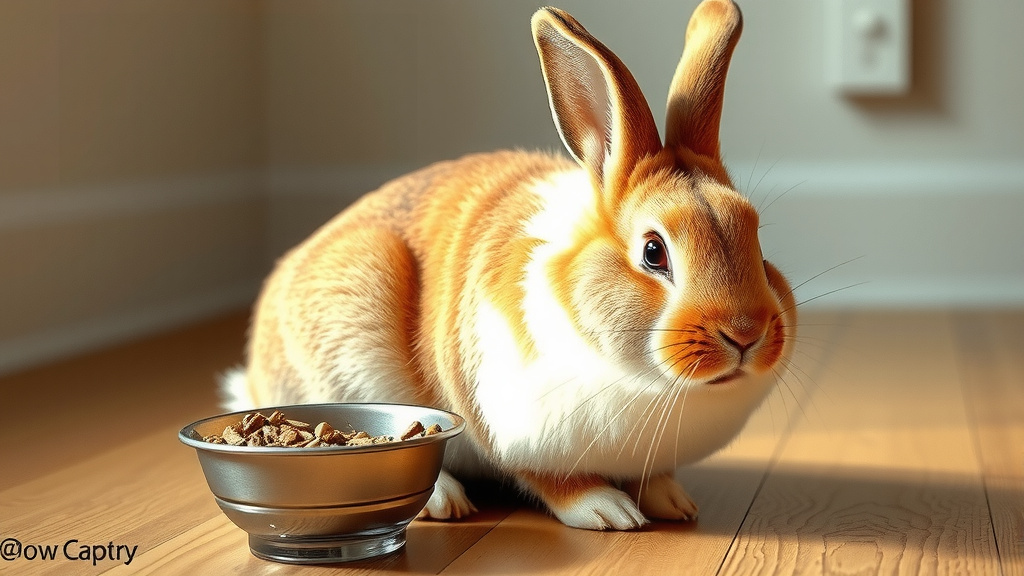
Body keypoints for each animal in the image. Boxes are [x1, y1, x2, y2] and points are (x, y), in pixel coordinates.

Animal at [223, 0, 797, 531]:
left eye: (757, 239)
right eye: (654, 251)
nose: (746, 334)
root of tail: (254, 374)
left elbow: (651, 477)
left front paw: (674, 502)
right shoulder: (509, 422)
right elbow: (550, 478)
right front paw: (609, 512)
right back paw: (444, 500)